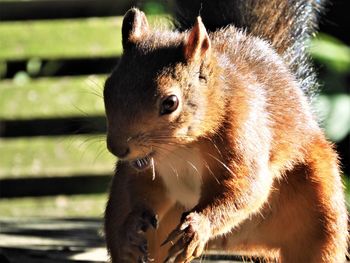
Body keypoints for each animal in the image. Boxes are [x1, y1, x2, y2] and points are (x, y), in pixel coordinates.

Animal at [102, 1, 348, 262]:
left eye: (170, 103)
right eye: (108, 88)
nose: (117, 148)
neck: (180, 147)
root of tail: (237, 241)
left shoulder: (245, 133)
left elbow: (245, 188)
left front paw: (197, 228)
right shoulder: (144, 170)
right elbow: (141, 190)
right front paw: (132, 226)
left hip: (319, 209)